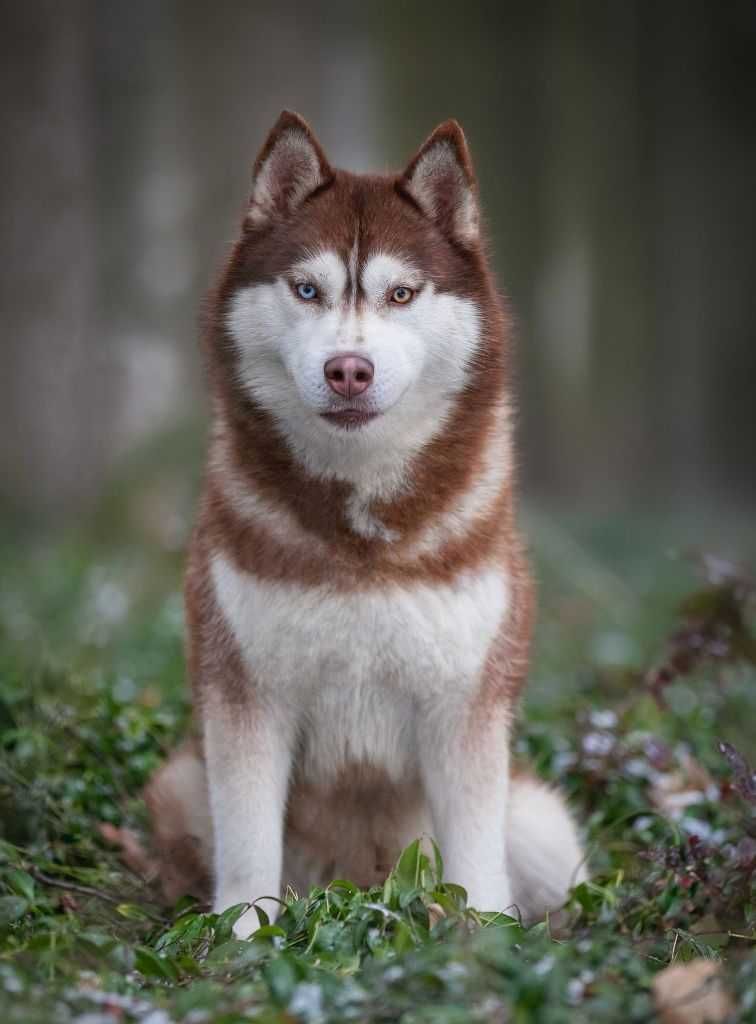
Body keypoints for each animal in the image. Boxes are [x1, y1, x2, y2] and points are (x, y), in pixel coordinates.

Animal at [144, 110, 585, 937]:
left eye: (402, 293)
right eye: (307, 289)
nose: (349, 369)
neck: (360, 529)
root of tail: (361, 891)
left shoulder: (463, 702)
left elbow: (476, 864)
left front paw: (482, 947)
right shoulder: (245, 696)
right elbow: (248, 853)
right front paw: (242, 944)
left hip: (545, 827)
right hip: (182, 784)